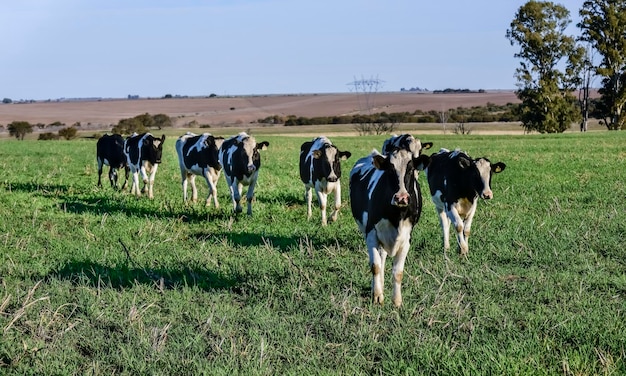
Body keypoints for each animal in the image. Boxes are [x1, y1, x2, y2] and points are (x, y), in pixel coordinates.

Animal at [348, 148, 432, 306]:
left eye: (411, 169)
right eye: (390, 170)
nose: (401, 198)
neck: (396, 216)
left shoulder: (406, 239)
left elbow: (398, 272)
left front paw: (397, 301)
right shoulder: (371, 233)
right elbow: (375, 266)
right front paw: (377, 296)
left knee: (383, 257)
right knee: (379, 260)